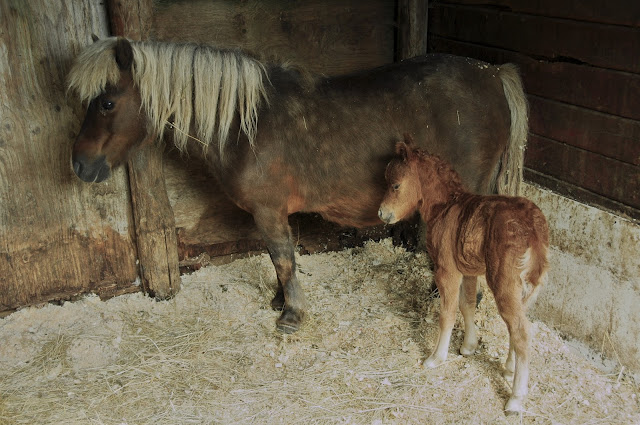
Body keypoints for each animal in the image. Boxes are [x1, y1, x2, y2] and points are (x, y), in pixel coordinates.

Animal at [67, 37, 528, 332]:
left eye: (107, 102)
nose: (79, 164)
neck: (245, 124)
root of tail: (493, 74)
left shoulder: (268, 211)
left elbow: (283, 258)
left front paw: (291, 314)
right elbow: (279, 260)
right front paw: (280, 300)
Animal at [380, 134, 552, 412]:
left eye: (395, 185)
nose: (382, 213)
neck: (445, 207)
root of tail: (533, 229)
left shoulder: (446, 269)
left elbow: (447, 313)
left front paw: (436, 358)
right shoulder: (468, 270)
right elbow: (467, 304)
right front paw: (469, 347)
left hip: (504, 283)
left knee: (521, 331)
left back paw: (515, 398)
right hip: (529, 286)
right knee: (519, 324)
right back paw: (509, 368)